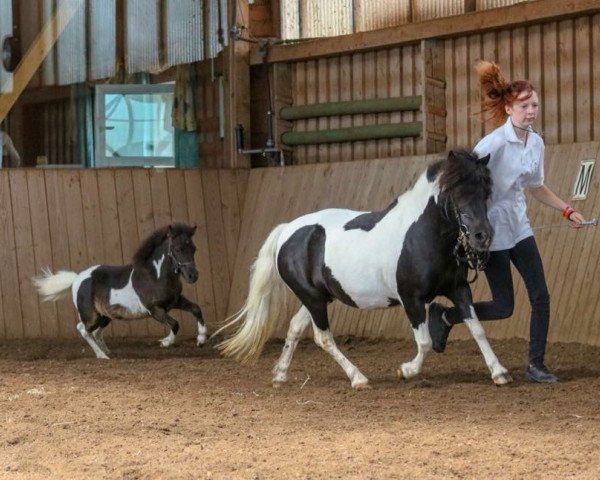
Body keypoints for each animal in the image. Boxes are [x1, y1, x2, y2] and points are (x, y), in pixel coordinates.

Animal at [32, 223, 206, 358]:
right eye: (177, 249)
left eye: (194, 249)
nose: (193, 276)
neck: (155, 276)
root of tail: (76, 279)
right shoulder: (154, 310)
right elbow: (175, 324)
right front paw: (165, 342)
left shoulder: (175, 301)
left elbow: (196, 309)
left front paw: (201, 340)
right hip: (92, 316)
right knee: (83, 329)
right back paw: (102, 356)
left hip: (105, 315)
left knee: (96, 332)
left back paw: (107, 352)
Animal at [214, 152, 510, 388]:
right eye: (456, 193)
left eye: (486, 192)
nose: (482, 237)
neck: (420, 235)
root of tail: (287, 230)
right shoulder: (411, 299)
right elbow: (424, 342)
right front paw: (405, 371)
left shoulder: (458, 289)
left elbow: (477, 329)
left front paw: (499, 372)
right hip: (312, 298)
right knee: (323, 337)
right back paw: (358, 378)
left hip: (318, 297)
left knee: (296, 327)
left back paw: (280, 375)